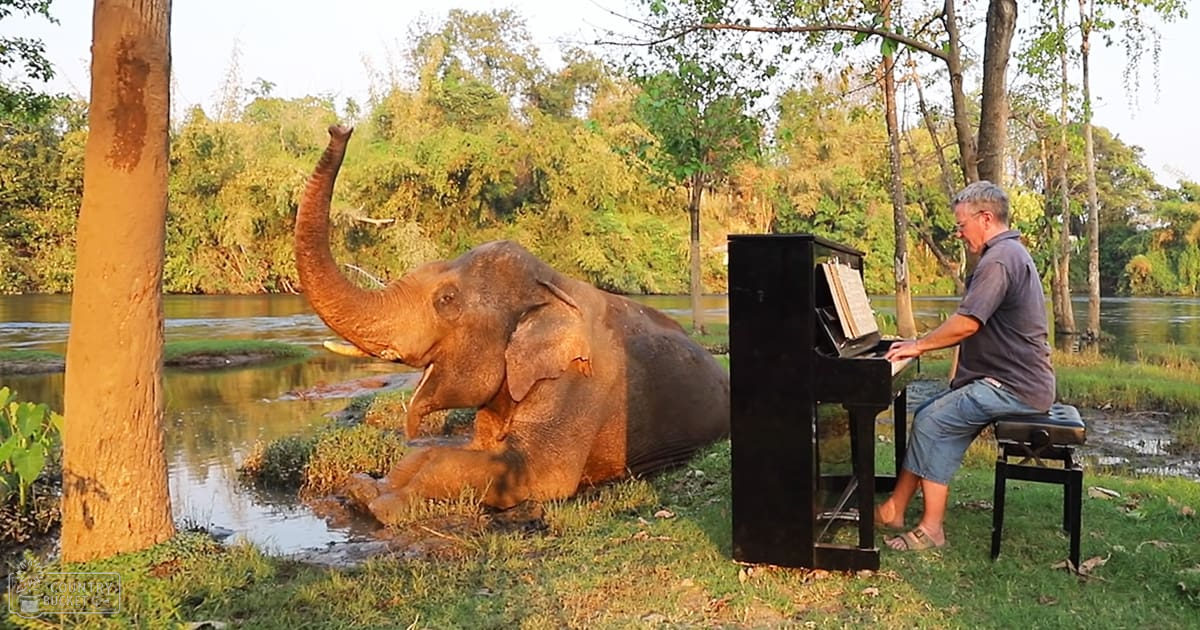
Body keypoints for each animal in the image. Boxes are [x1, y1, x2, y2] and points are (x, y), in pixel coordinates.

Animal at [295, 125, 730, 524]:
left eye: (446, 300)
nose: (341, 128)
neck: (552, 284)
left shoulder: (578, 384)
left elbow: (532, 474)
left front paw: (382, 506)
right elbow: (447, 453)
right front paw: (361, 488)